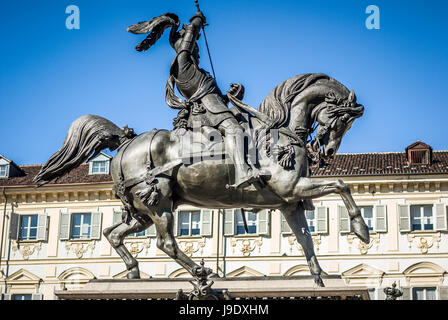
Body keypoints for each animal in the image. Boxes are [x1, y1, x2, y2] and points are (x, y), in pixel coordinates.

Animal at [35, 73, 370, 288]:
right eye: (342, 119)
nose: (327, 151)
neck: (278, 131)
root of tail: (126, 143)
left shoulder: (289, 203)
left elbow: (306, 239)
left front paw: (319, 277)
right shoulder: (292, 188)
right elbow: (341, 185)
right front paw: (361, 228)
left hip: (143, 211)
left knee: (112, 233)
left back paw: (133, 272)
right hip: (158, 203)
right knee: (165, 242)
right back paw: (199, 272)